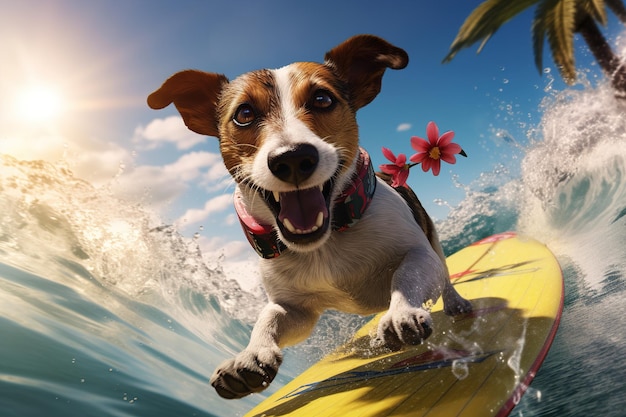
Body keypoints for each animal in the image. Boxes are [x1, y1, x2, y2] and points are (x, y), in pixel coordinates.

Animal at [145, 34, 468, 398]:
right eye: (244, 113)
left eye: (322, 98)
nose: (292, 158)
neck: (325, 244)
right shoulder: (294, 308)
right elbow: (269, 318)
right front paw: (250, 355)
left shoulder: (416, 252)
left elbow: (408, 273)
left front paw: (401, 312)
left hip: (432, 238)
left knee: (443, 273)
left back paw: (456, 303)